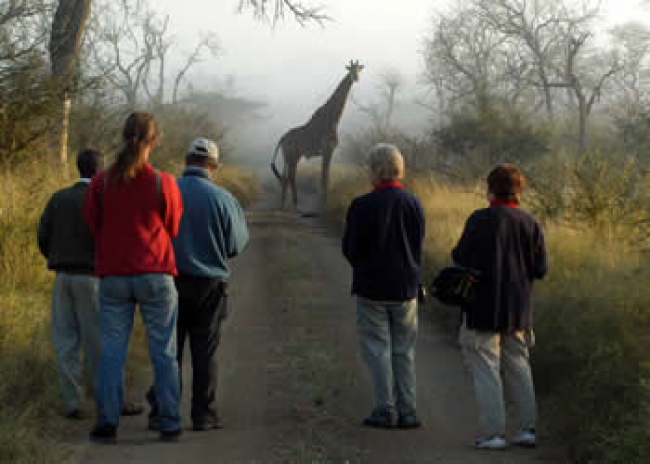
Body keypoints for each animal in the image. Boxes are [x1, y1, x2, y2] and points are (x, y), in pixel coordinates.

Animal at [268, 59, 360, 210]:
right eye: (351, 69)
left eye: (359, 69)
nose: (356, 78)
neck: (333, 118)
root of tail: (282, 139)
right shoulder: (328, 149)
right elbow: (325, 177)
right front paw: (323, 204)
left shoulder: (328, 151)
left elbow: (325, 177)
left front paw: (324, 202)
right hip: (291, 155)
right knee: (290, 176)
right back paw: (292, 204)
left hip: (291, 156)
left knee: (286, 176)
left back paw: (286, 203)